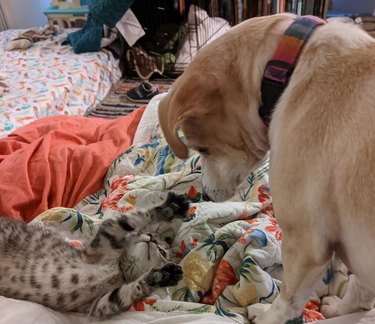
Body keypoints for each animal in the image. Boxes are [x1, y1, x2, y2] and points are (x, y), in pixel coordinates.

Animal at [0, 191, 189, 318]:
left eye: (162, 251)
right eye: (146, 233)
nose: (152, 239)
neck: (119, 271)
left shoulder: (100, 304)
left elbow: (130, 291)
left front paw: (164, 276)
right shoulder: (106, 238)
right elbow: (133, 219)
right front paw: (168, 209)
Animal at [159, 12, 375, 324]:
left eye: (204, 149)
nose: (206, 197)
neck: (287, 68)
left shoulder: (306, 244)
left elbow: (287, 303)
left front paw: (264, 315)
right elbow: (360, 286)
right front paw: (342, 310)